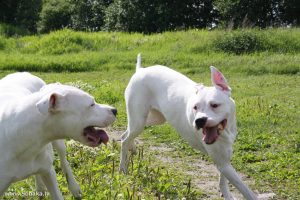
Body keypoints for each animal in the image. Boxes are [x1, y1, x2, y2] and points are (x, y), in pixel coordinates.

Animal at [120, 54, 256, 199]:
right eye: (195, 107)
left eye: (215, 105)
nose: (199, 121)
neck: (225, 131)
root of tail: (140, 70)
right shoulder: (223, 162)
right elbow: (246, 190)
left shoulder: (224, 158)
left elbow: (223, 181)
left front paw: (226, 194)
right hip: (140, 120)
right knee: (124, 140)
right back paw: (123, 168)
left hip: (151, 119)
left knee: (126, 134)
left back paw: (132, 148)